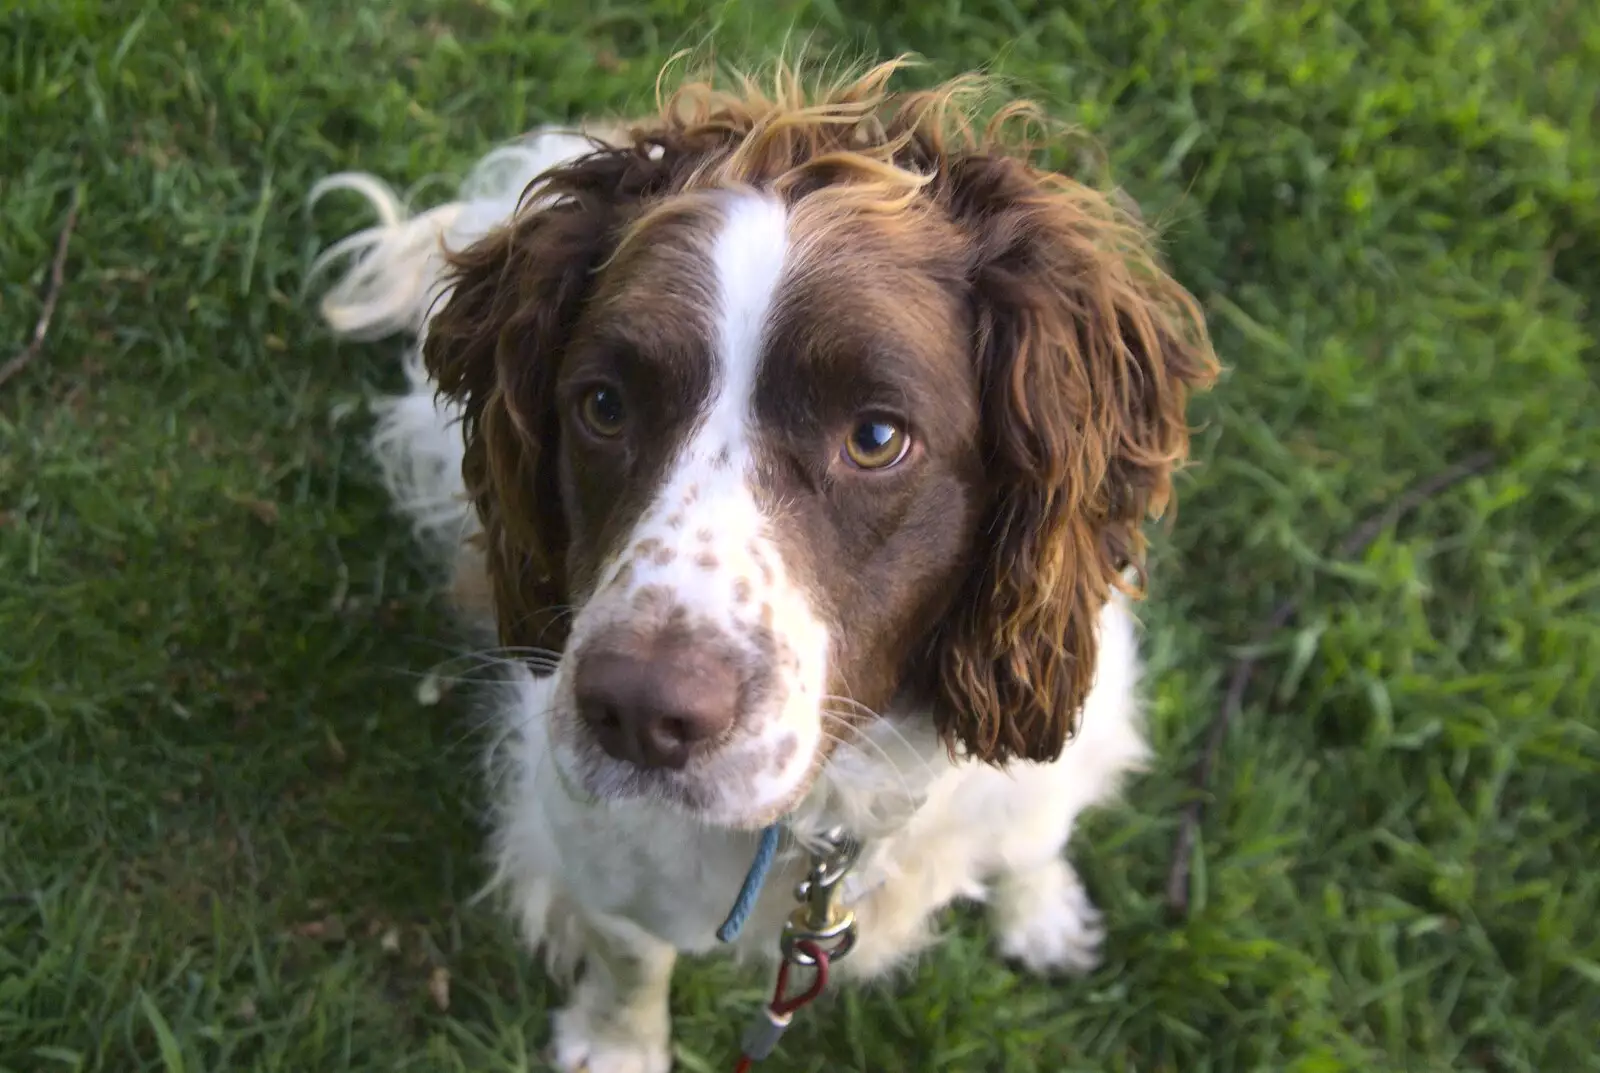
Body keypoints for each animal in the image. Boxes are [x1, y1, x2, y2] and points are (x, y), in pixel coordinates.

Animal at [308, 56, 1209, 1073]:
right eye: (604, 405)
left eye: (876, 436)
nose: (637, 713)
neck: (831, 809)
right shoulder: (595, 843)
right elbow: (631, 957)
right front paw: (618, 1043)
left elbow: (1031, 836)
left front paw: (1043, 910)